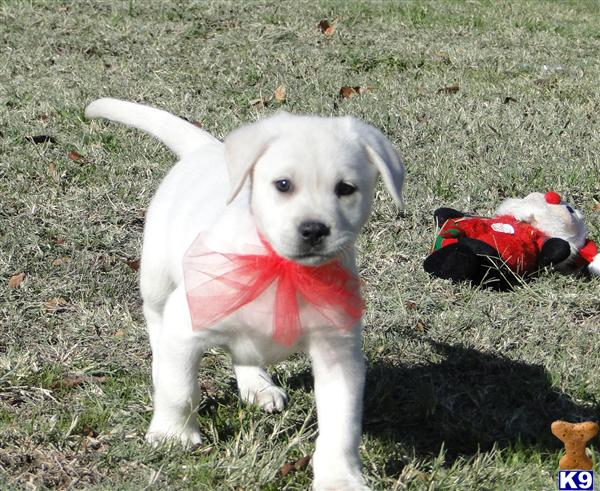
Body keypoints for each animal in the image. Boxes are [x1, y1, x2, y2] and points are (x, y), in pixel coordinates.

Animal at [84, 98, 406, 490]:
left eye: (346, 188)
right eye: (283, 184)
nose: (314, 230)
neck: (280, 267)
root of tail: (207, 148)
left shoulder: (338, 354)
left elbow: (341, 425)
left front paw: (339, 477)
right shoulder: (185, 323)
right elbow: (178, 388)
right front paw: (174, 434)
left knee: (245, 354)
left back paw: (259, 387)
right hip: (157, 280)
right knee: (157, 325)